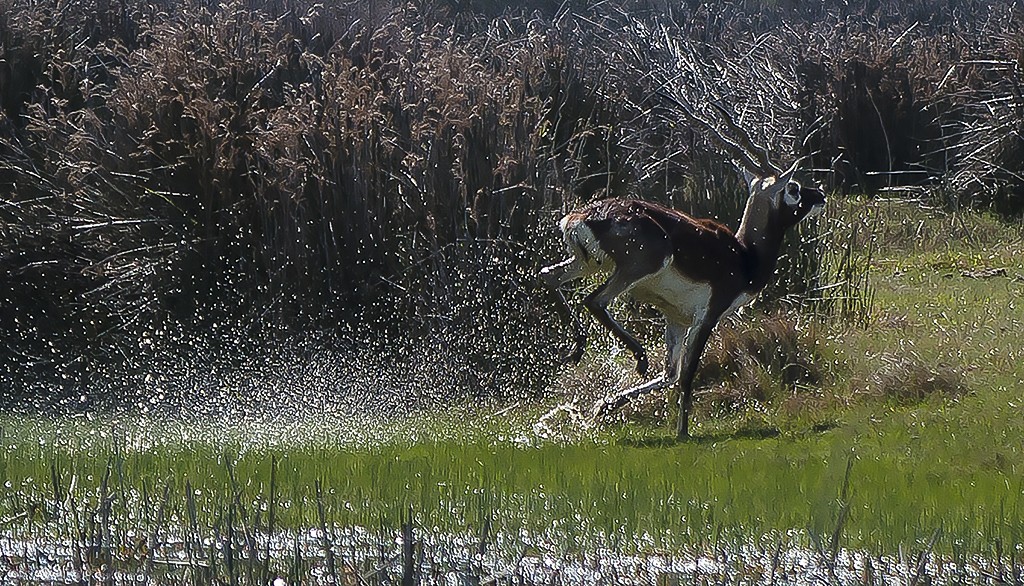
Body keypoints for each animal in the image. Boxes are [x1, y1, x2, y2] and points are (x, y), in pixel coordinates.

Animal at [540, 109, 827, 438]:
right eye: (793, 187)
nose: (820, 194)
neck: (745, 255)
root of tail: (584, 216)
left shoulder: (676, 318)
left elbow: (670, 374)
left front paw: (605, 405)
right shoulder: (708, 314)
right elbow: (687, 373)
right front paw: (683, 431)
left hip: (588, 263)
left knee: (548, 275)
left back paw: (577, 349)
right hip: (639, 265)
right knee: (594, 301)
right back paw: (638, 358)